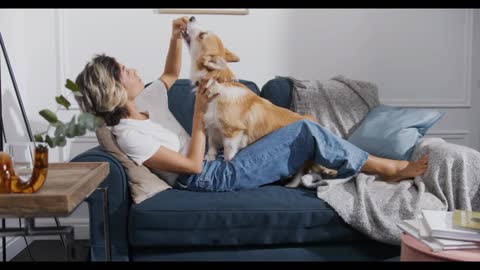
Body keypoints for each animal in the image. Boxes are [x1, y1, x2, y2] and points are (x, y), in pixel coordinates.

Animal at [180, 16, 334, 186]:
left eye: (202, 35)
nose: (191, 17)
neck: (218, 83)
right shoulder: (213, 129)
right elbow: (212, 150)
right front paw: (209, 159)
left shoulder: (232, 133)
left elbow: (228, 155)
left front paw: (226, 167)